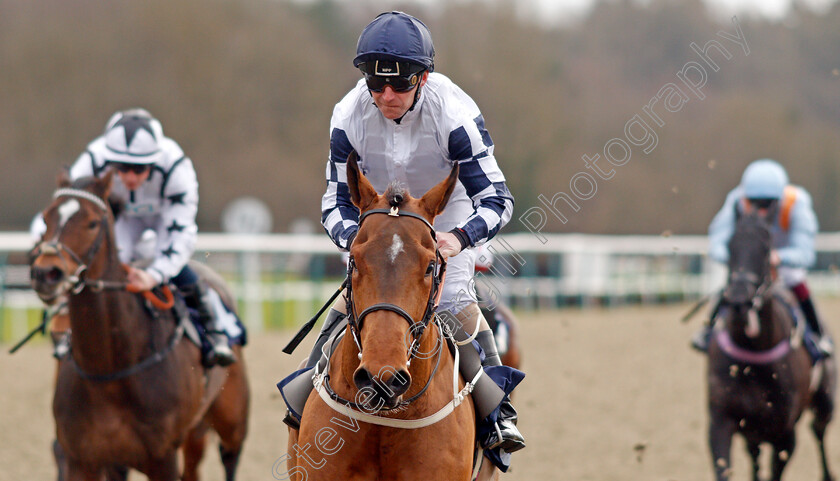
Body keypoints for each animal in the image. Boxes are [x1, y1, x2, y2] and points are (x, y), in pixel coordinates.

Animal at [30, 172, 253, 480]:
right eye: (46, 218)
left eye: (92, 222)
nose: (46, 273)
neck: (109, 373)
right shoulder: (82, 459)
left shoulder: (162, 458)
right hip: (194, 430)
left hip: (232, 421)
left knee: (230, 457)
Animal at [708, 212, 832, 480]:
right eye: (730, 245)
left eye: (766, 249)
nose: (739, 303)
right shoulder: (721, 421)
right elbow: (724, 466)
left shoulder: (785, 433)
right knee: (754, 454)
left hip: (825, 402)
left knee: (819, 432)